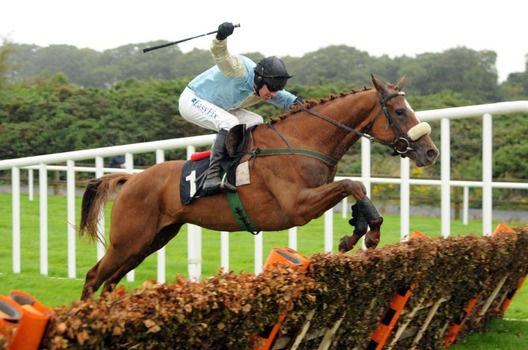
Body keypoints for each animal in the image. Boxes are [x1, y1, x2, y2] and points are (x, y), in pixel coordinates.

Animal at [78, 75, 440, 300]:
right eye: (399, 111)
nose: (431, 152)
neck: (300, 142)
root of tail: (131, 179)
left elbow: (355, 187)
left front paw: (359, 229)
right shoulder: (297, 207)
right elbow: (353, 184)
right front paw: (367, 232)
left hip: (150, 241)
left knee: (111, 280)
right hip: (128, 240)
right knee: (95, 277)